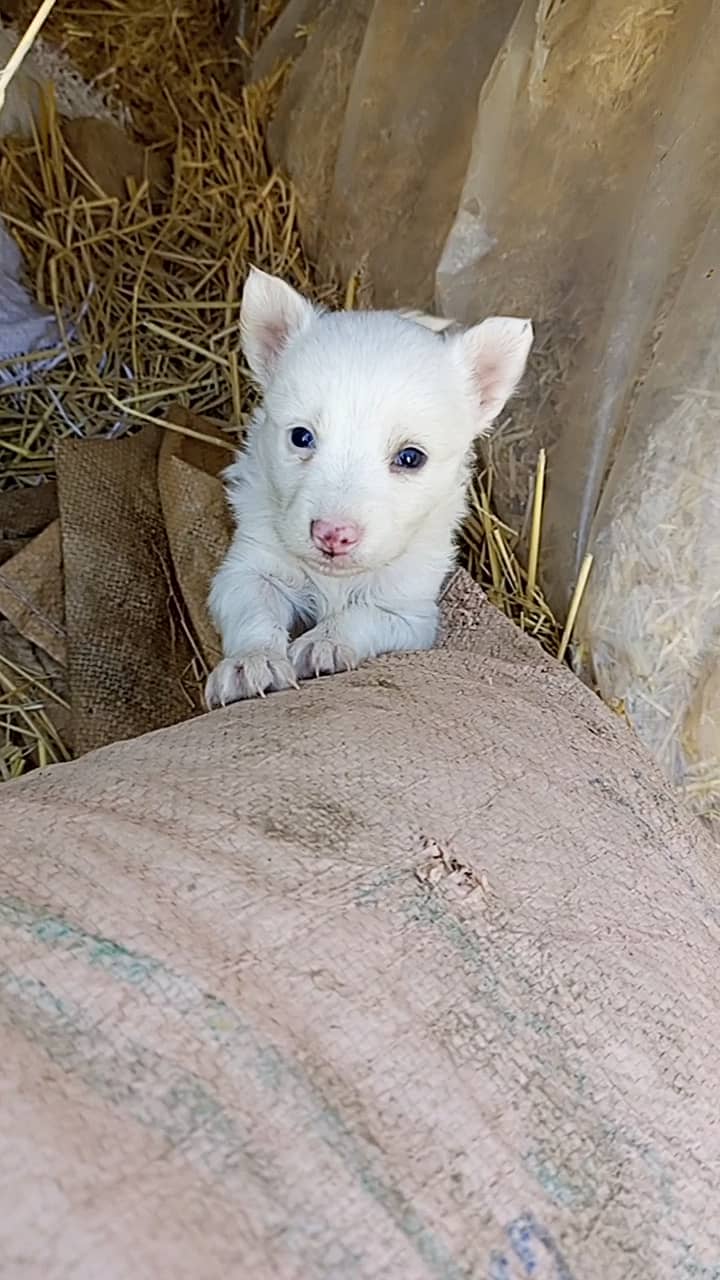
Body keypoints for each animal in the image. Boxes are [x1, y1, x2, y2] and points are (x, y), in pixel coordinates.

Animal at [204, 271, 530, 711]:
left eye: (410, 457)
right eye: (301, 437)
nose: (332, 535)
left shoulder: (408, 613)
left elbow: (360, 616)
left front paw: (323, 644)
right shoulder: (248, 569)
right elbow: (253, 613)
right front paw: (251, 663)